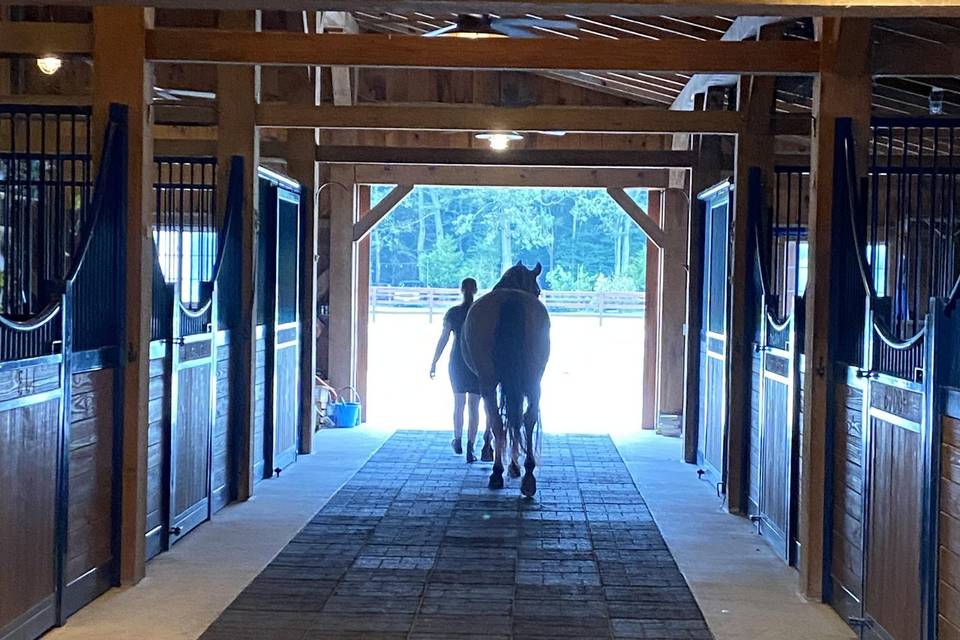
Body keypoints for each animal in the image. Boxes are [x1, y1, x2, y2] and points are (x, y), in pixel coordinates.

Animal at [462, 262, 552, 498]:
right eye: (538, 291)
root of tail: (511, 300)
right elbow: (514, 417)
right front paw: (514, 465)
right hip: (532, 381)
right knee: (526, 418)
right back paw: (527, 477)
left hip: (489, 382)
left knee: (497, 420)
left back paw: (498, 472)